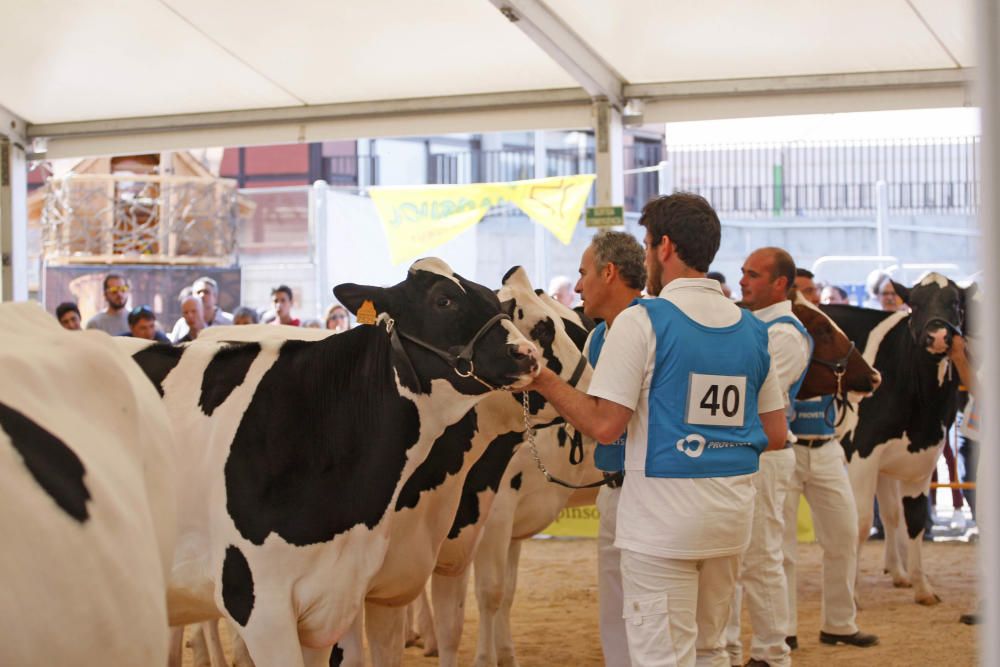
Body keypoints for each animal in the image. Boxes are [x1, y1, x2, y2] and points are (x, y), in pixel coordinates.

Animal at [820, 272, 976, 604]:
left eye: (955, 302)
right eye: (914, 304)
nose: (938, 336)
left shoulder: (923, 457)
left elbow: (912, 520)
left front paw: (922, 587)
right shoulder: (863, 453)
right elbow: (861, 521)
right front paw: (851, 593)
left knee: (891, 514)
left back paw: (898, 572)